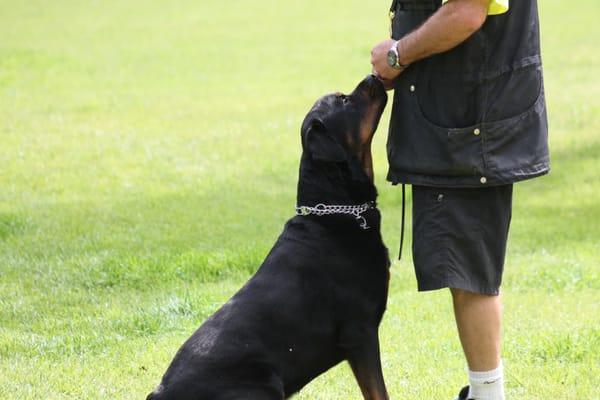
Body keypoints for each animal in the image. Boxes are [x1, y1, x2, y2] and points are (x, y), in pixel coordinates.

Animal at [148, 76, 392, 400]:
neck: (333, 212)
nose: (373, 77)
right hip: (262, 385)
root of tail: (160, 393)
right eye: (344, 99)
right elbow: (379, 392)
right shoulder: (359, 333)